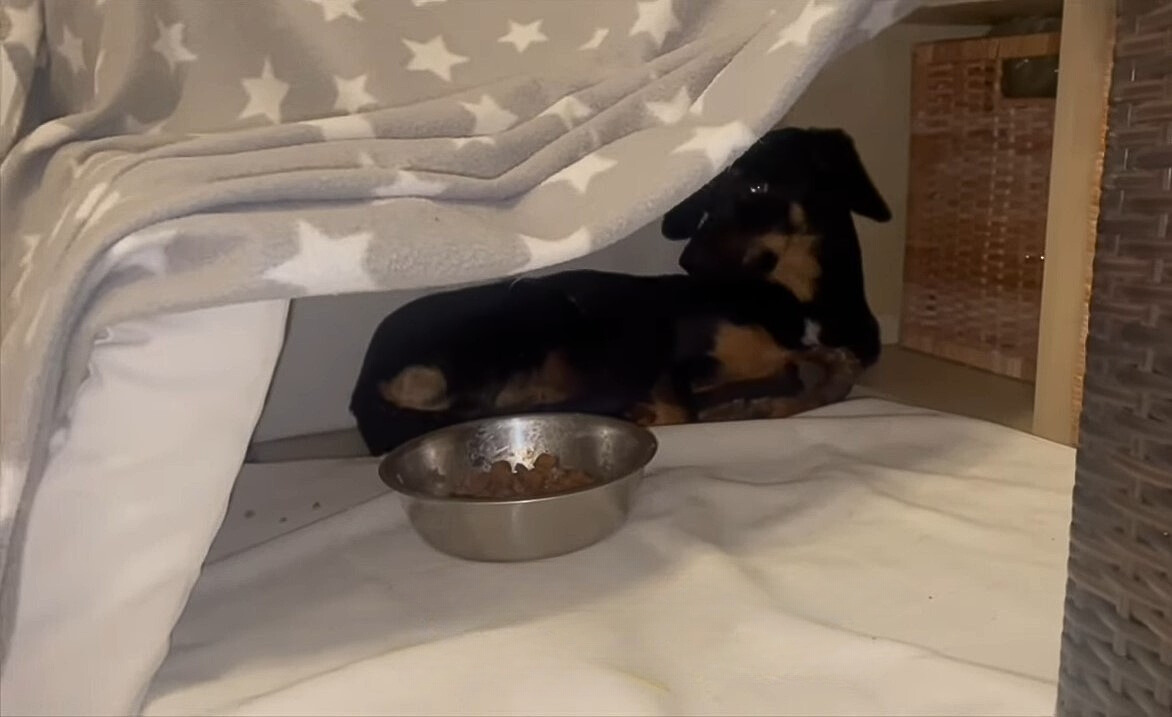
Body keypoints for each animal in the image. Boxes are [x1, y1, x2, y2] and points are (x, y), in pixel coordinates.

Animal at [346, 127, 886, 454]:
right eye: (707, 197)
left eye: (756, 189)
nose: (687, 264)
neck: (792, 301)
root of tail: (365, 383)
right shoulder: (665, 359)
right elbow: (687, 407)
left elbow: (826, 379)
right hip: (541, 303)